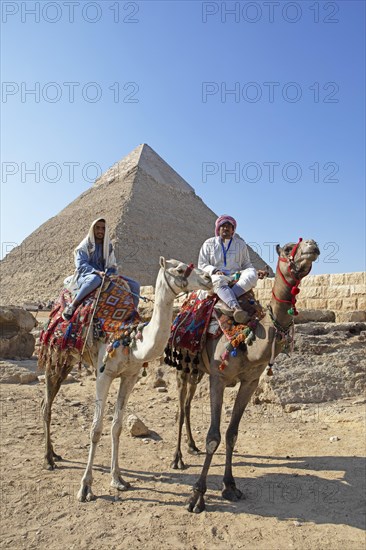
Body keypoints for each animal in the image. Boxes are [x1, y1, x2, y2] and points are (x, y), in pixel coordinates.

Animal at [39, 258, 212, 504]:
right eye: (179, 269)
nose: (208, 279)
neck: (131, 340)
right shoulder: (104, 375)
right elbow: (96, 429)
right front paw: (85, 487)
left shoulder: (129, 377)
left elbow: (117, 427)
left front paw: (118, 479)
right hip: (54, 354)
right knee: (46, 405)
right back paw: (48, 459)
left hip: (67, 360)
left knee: (48, 402)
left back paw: (54, 453)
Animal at [170, 239, 318, 516]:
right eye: (288, 248)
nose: (312, 245)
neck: (250, 339)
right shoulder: (218, 378)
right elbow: (213, 437)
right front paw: (197, 496)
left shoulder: (250, 382)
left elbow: (232, 434)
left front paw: (230, 486)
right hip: (182, 367)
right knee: (181, 407)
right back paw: (178, 458)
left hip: (197, 370)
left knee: (187, 405)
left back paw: (191, 446)